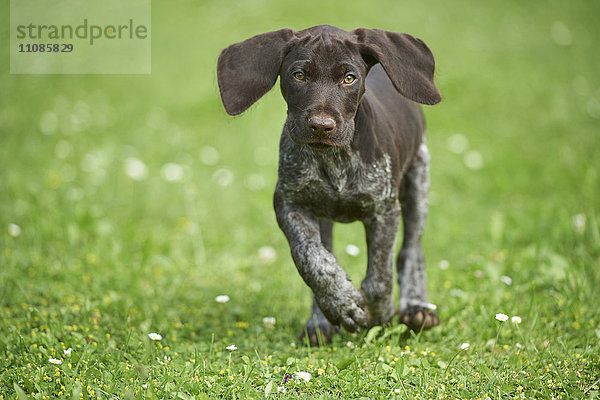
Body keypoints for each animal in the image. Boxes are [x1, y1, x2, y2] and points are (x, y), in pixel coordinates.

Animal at [219, 25, 440, 344]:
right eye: (299, 75)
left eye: (349, 78)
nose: (321, 127)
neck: (335, 161)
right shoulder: (290, 203)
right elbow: (312, 259)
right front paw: (341, 304)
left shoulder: (383, 210)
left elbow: (379, 277)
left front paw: (381, 314)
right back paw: (321, 323)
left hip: (417, 182)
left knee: (411, 250)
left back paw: (417, 310)